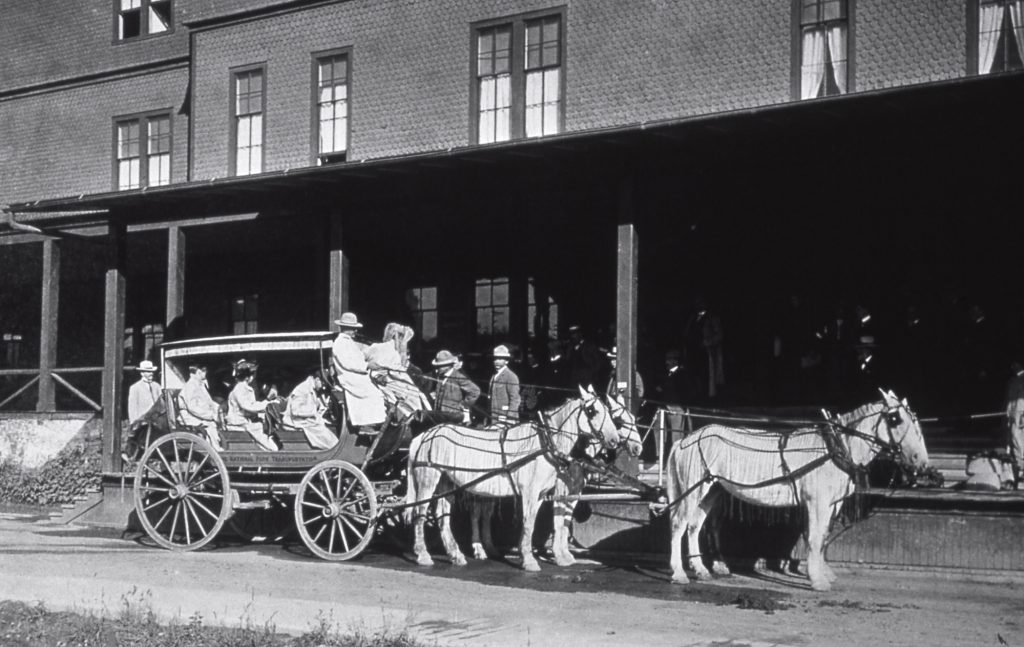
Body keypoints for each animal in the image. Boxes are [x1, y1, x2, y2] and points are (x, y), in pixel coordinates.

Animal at [405, 384, 614, 569]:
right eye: (592, 411)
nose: (614, 440)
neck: (545, 442)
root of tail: (423, 435)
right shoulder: (532, 492)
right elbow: (532, 522)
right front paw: (531, 561)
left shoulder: (541, 494)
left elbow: (539, 521)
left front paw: (532, 555)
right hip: (428, 479)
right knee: (420, 513)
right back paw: (423, 555)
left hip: (446, 480)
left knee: (443, 515)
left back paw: (456, 555)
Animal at [663, 389, 929, 589]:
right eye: (895, 419)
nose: (921, 462)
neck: (836, 446)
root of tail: (685, 439)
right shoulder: (817, 502)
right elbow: (814, 536)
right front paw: (818, 580)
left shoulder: (831, 504)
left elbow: (823, 537)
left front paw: (823, 572)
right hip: (693, 488)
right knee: (678, 525)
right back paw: (679, 573)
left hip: (711, 490)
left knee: (695, 526)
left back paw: (701, 570)